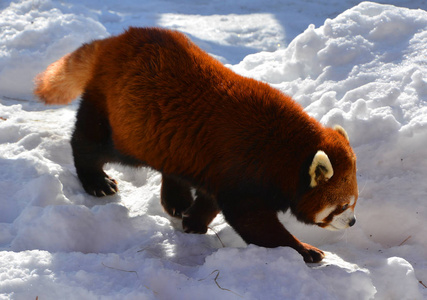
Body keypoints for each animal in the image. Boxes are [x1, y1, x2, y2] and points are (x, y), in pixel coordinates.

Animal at [35, 27, 360, 262]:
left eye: (354, 202)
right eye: (343, 205)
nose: (354, 222)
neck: (284, 151)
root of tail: (117, 39)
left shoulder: (219, 167)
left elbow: (212, 199)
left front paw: (194, 221)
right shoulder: (242, 168)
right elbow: (254, 222)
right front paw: (305, 250)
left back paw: (176, 200)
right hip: (120, 120)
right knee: (90, 144)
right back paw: (96, 181)